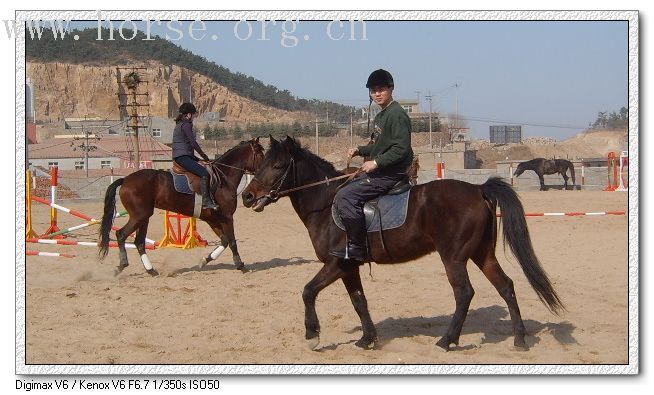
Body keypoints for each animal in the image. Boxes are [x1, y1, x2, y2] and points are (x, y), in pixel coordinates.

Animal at [98, 138, 266, 276]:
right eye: (260, 154)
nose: (263, 174)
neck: (224, 178)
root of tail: (125, 180)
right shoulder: (227, 217)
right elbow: (232, 242)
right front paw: (241, 266)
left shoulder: (213, 219)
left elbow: (224, 241)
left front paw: (204, 261)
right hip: (139, 215)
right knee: (121, 234)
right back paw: (122, 265)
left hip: (144, 217)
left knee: (139, 242)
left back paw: (151, 270)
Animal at [243, 137, 568, 352]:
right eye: (262, 163)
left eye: (278, 165)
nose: (247, 196)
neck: (326, 203)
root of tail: (478, 189)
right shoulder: (349, 267)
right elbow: (359, 301)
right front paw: (367, 339)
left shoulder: (336, 263)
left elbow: (308, 291)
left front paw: (313, 335)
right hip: (481, 254)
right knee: (506, 287)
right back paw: (519, 339)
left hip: (454, 258)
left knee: (464, 293)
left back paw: (447, 340)